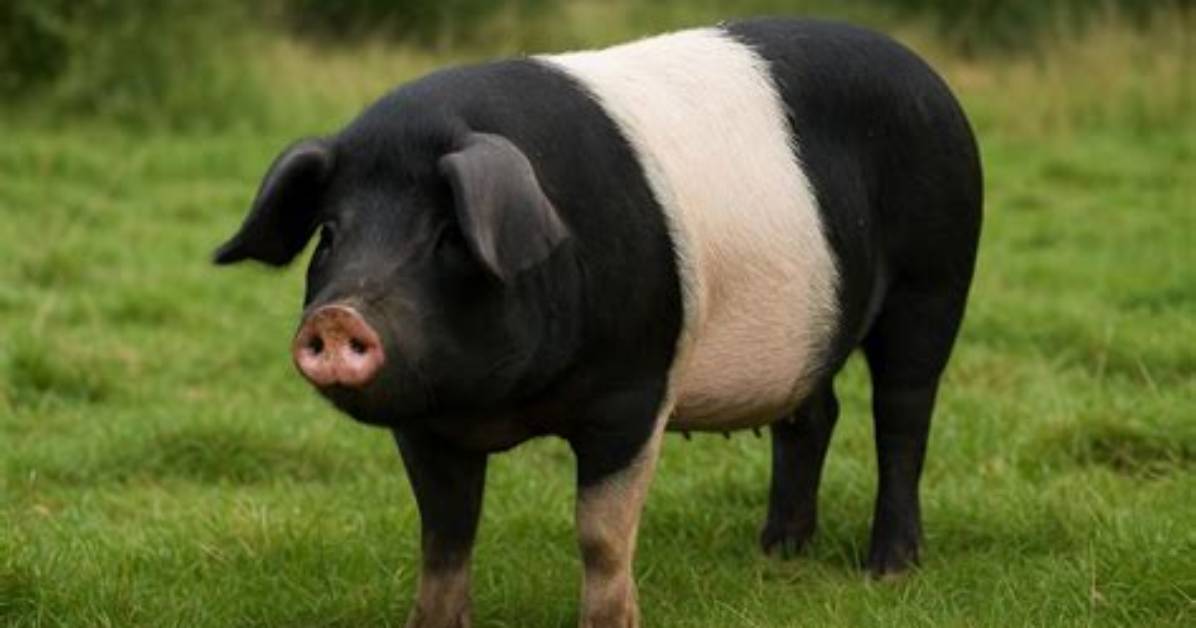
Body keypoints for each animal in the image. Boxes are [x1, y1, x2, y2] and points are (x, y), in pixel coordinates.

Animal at [214, 18, 981, 628]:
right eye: (330, 235)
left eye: (448, 236)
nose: (338, 316)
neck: (501, 405)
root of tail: (930, 78)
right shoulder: (426, 422)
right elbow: (444, 535)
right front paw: (432, 624)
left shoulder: (633, 390)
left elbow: (601, 534)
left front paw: (611, 622)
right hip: (807, 330)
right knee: (814, 415)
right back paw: (777, 554)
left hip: (936, 277)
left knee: (903, 417)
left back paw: (888, 569)